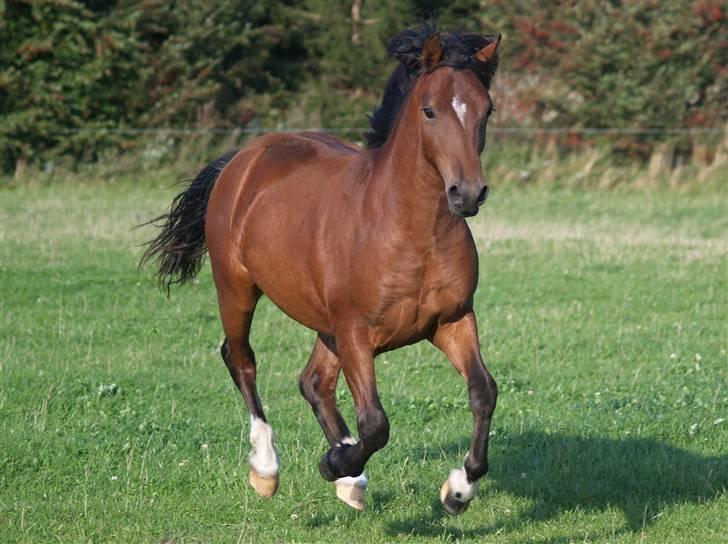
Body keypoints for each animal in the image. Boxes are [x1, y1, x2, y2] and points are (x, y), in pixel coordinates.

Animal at [145, 24, 504, 516]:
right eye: (430, 110)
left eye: (486, 109)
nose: (467, 193)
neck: (409, 232)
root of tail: (244, 157)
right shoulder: (355, 331)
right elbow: (375, 423)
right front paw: (334, 462)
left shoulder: (452, 321)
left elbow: (483, 392)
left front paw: (458, 491)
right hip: (236, 288)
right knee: (241, 359)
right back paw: (268, 469)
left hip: (326, 325)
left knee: (313, 381)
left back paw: (352, 481)